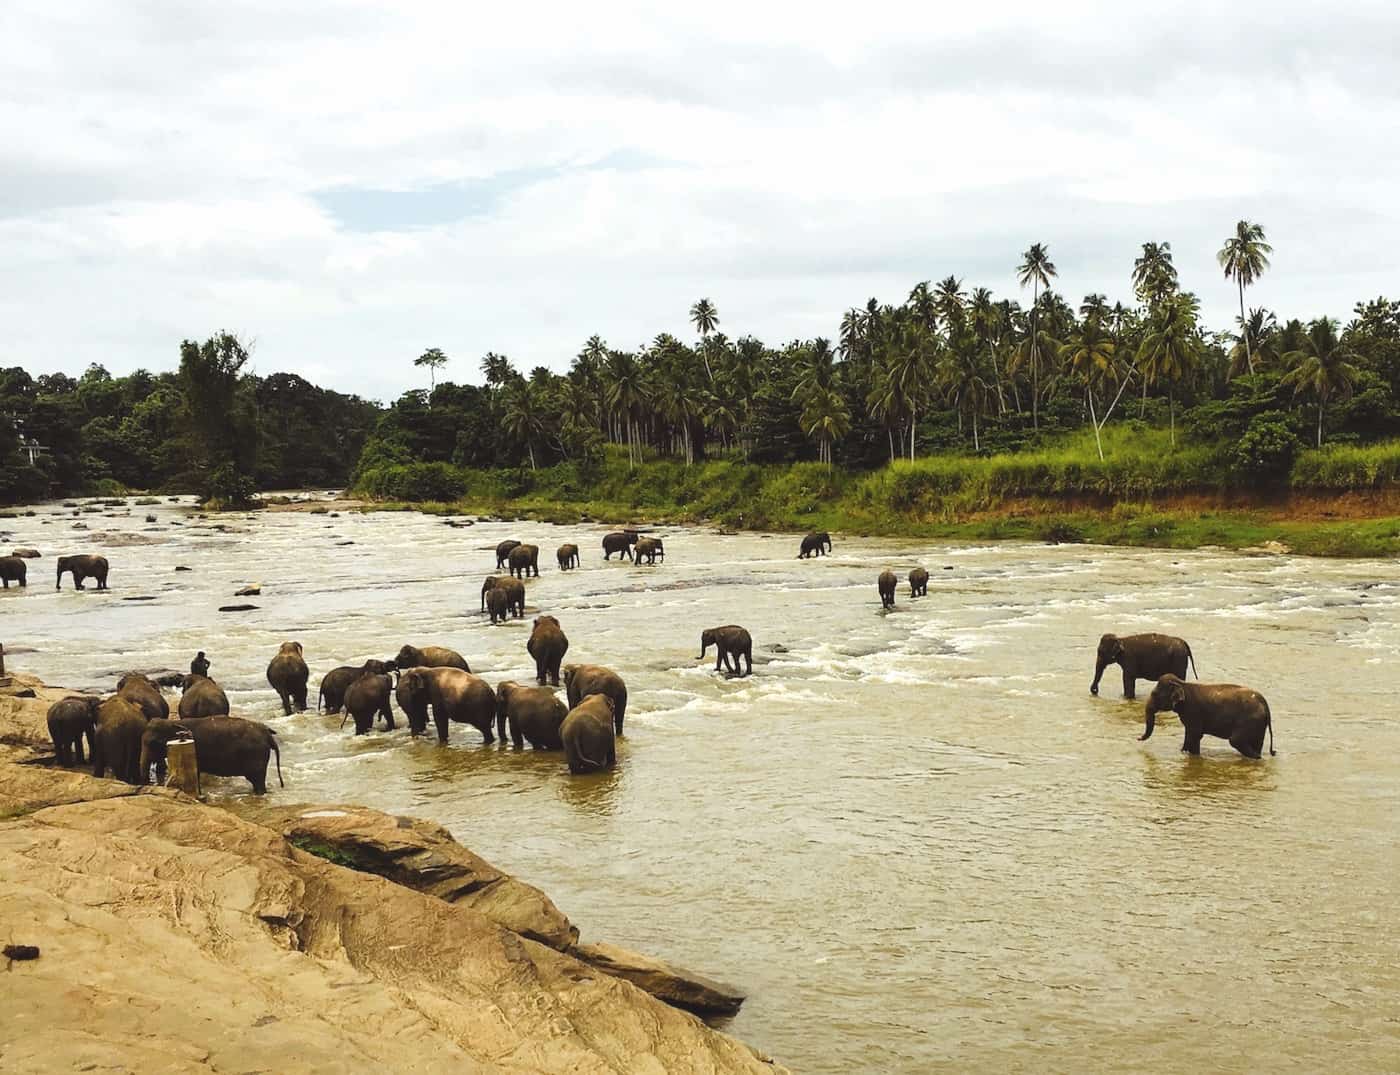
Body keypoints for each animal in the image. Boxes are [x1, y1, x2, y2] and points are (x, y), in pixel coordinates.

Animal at [1142, 677, 1276, 761]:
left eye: (1154, 694)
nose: (1138, 738)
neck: (1182, 684)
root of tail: (1265, 703)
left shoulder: (1193, 712)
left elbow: (1194, 735)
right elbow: (1191, 735)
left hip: (1249, 721)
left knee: (1235, 740)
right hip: (1259, 725)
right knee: (1256, 744)